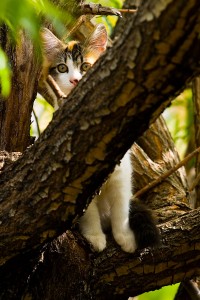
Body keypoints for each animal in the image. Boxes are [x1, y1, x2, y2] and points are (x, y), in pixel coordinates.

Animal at [39, 24, 160, 253]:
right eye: (62, 68)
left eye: (86, 66)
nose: (75, 80)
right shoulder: (75, 184)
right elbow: (88, 212)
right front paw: (94, 236)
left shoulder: (122, 171)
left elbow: (121, 205)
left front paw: (125, 236)